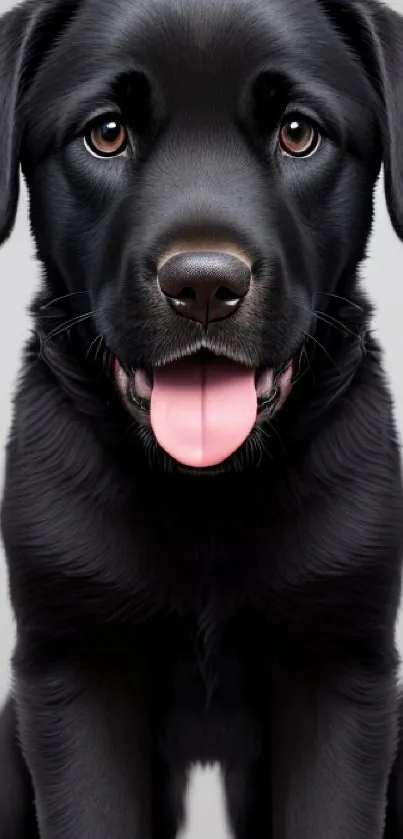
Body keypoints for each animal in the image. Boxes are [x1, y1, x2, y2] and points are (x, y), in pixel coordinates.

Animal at [0, 0, 403, 836]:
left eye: (297, 132)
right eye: (106, 133)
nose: (205, 287)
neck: (204, 492)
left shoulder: (342, 662)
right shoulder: (72, 661)